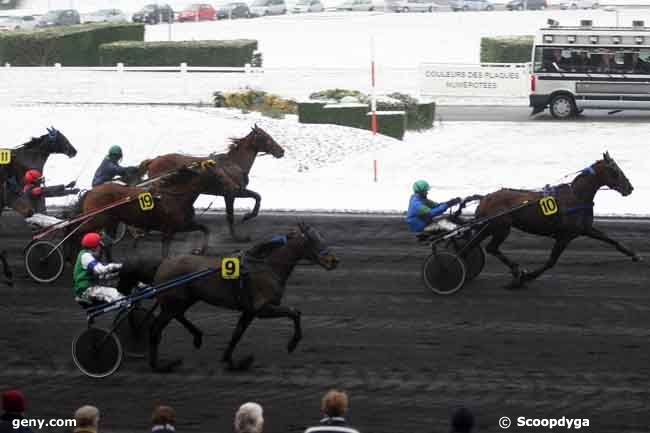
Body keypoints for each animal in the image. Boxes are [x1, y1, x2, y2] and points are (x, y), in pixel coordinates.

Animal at [139, 123, 284, 241]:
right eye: (266, 137)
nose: (281, 151)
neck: (234, 164)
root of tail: (154, 160)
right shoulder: (232, 192)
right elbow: (232, 214)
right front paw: (239, 233)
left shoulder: (234, 191)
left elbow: (257, 196)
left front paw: (247, 216)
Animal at [147, 223, 340, 372]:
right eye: (313, 240)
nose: (334, 261)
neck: (266, 266)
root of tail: (164, 263)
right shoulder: (262, 309)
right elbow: (294, 312)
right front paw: (292, 343)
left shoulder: (249, 311)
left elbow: (237, 334)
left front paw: (230, 361)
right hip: (174, 303)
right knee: (156, 329)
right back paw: (159, 365)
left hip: (184, 300)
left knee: (178, 316)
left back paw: (197, 337)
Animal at [464, 150, 636, 288]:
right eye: (615, 170)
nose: (630, 188)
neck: (577, 197)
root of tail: (485, 198)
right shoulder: (565, 236)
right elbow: (551, 261)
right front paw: (528, 277)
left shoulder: (585, 229)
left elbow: (611, 239)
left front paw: (633, 254)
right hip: (500, 227)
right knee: (490, 248)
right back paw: (516, 271)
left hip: (488, 227)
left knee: (475, 246)